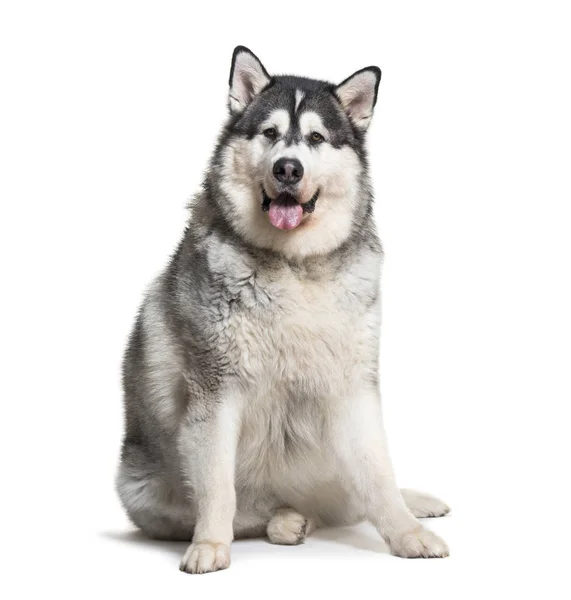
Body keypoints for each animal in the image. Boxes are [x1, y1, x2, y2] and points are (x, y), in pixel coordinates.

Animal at [116, 45, 452, 572]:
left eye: (315, 138)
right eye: (270, 133)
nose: (288, 169)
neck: (296, 266)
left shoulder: (355, 387)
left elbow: (378, 474)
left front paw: (406, 533)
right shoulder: (215, 393)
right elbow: (218, 489)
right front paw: (209, 545)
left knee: (355, 494)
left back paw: (411, 502)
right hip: (146, 489)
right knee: (246, 510)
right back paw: (286, 520)